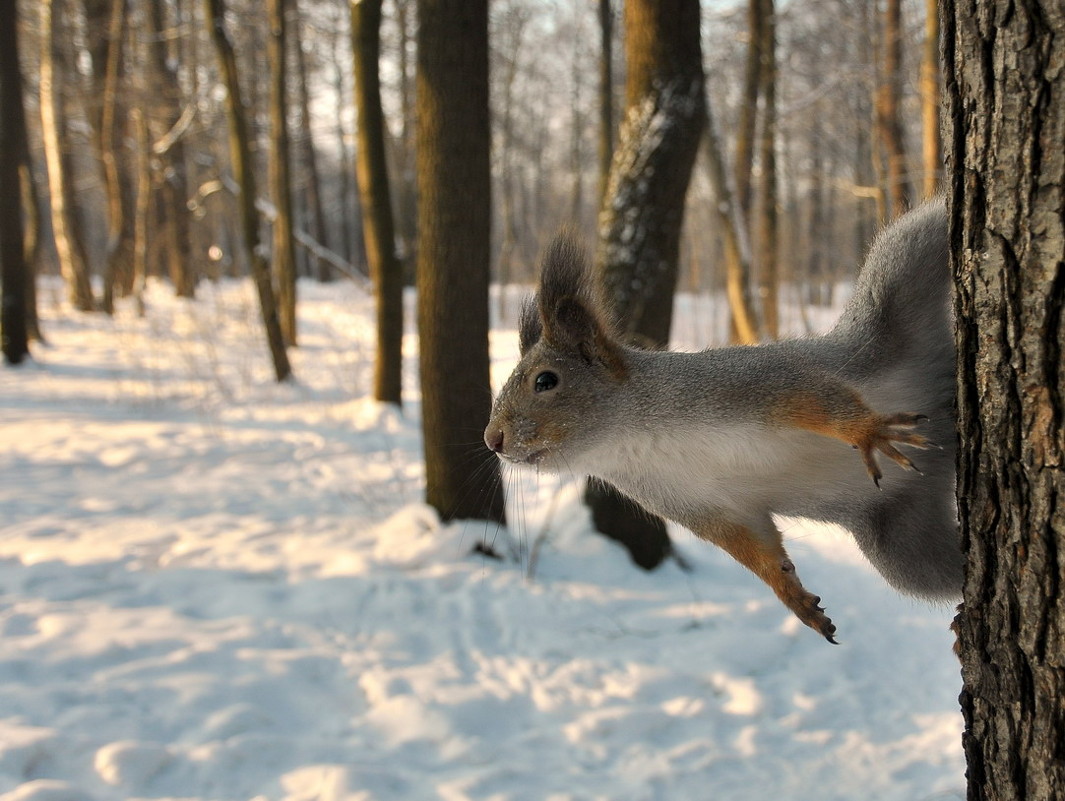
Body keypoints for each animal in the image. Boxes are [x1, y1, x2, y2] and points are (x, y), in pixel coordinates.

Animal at [487, 200, 962, 643]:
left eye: (546, 381)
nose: (493, 440)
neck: (631, 437)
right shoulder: (702, 507)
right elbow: (756, 548)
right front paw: (796, 600)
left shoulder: (750, 384)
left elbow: (815, 398)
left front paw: (867, 431)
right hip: (903, 547)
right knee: (938, 572)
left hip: (899, 273)